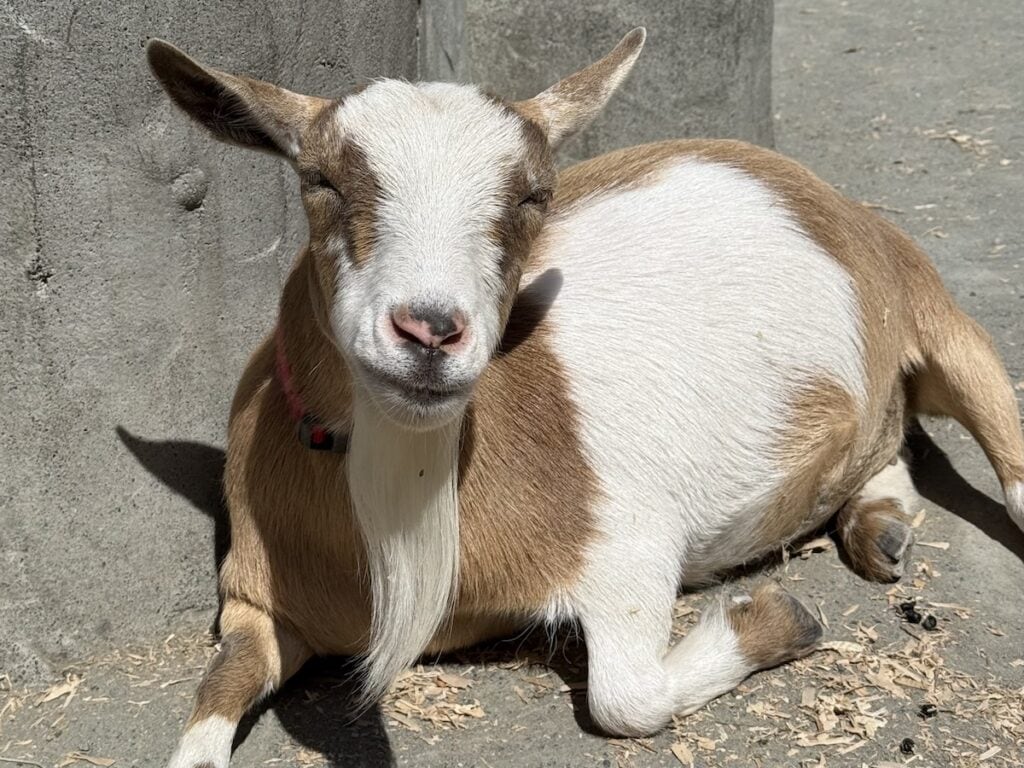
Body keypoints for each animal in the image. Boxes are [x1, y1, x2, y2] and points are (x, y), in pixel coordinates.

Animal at [147, 29, 1024, 768]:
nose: (430, 330)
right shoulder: (256, 602)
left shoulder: (628, 545)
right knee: (891, 441)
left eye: (534, 196)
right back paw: (879, 524)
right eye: (319, 179)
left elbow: (625, 698)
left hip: (934, 311)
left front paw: (780, 619)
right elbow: (206, 710)